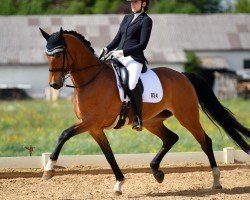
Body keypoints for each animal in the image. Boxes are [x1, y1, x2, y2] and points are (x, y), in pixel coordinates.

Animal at [40, 27, 249, 195]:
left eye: (58, 54)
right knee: (171, 138)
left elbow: (64, 134)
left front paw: (49, 169)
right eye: (47, 55)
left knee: (205, 141)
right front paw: (119, 184)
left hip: (187, 116)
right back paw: (157, 172)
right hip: (152, 121)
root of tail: (182, 76)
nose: (54, 84)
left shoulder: (90, 122)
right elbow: (108, 155)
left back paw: (216, 181)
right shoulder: (94, 128)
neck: (91, 79)